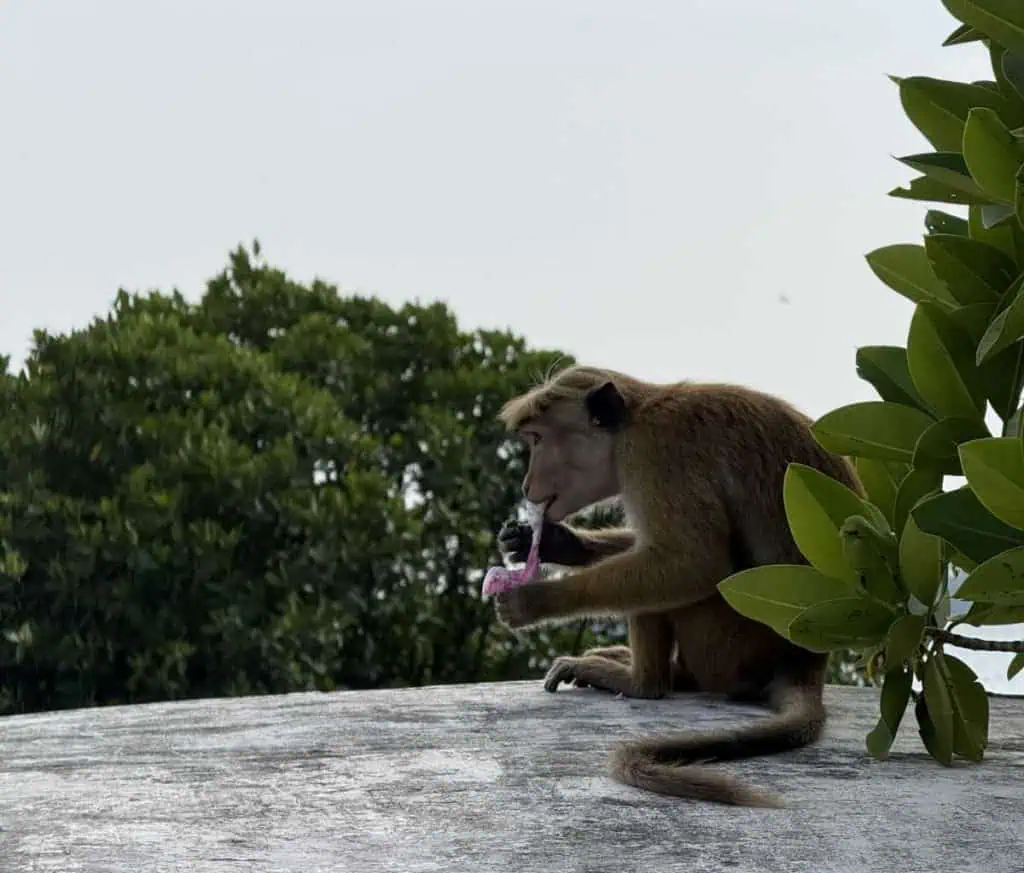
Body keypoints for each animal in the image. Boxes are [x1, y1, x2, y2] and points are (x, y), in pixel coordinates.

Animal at [491, 364, 861, 808]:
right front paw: (555, 541)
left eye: (537, 439)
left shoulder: (653, 454)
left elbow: (692, 563)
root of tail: (807, 663)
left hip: (727, 643)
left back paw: (640, 681)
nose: (527, 485)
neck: (634, 418)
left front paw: (532, 600)